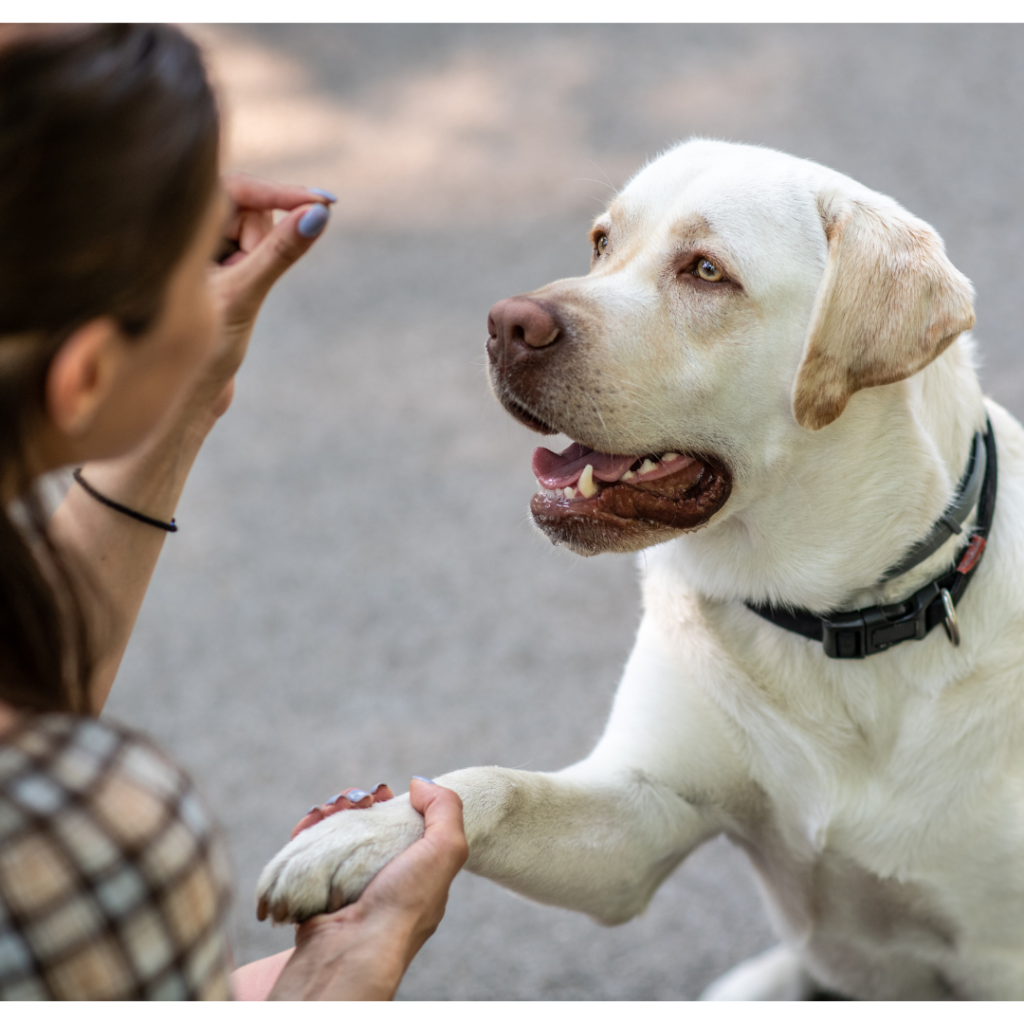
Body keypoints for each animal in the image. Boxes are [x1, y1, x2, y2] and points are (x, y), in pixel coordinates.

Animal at [253, 140, 1024, 995]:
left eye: (707, 271)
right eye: (600, 242)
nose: (506, 324)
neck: (832, 622)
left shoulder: (998, 957)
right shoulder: (638, 823)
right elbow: (491, 786)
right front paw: (363, 834)